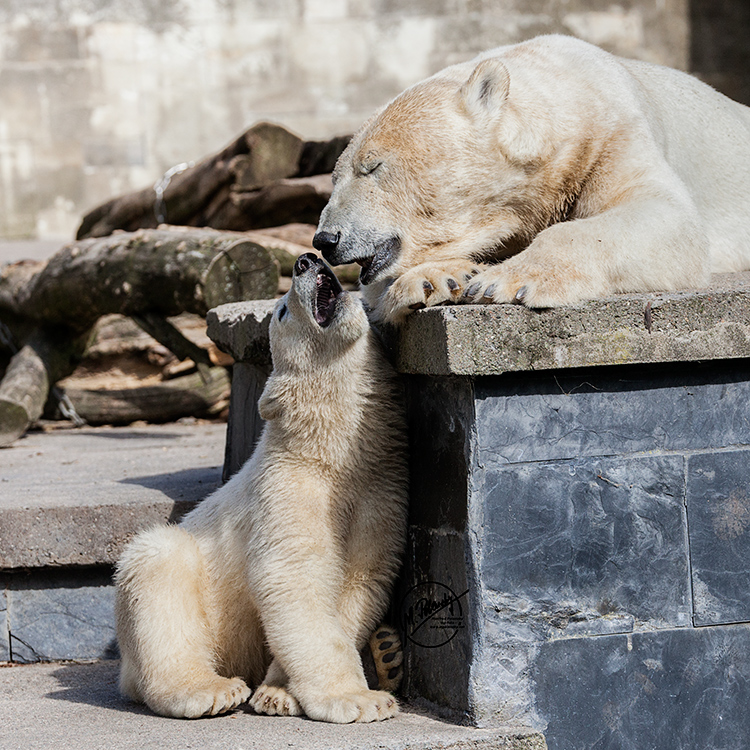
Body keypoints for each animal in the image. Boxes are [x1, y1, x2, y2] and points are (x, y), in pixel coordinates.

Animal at [117, 256, 408, 724]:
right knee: (159, 563)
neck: (330, 450)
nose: (306, 260)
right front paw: (359, 700)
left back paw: (387, 653)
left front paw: (281, 692)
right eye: (282, 312)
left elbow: (361, 578)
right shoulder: (288, 484)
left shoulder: (381, 487)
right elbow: (293, 577)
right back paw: (208, 690)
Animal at [314, 35, 750, 324]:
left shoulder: (612, 135)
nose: (325, 239)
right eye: (334, 177)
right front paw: (438, 278)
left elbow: (667, 216)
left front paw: (503, 282)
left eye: (373, 166)